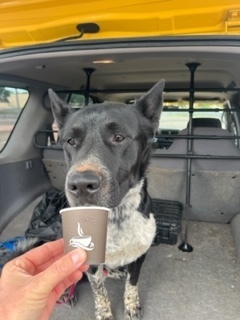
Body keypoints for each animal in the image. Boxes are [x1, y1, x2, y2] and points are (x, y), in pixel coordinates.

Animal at [48, 78, 165, 320]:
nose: (81, 184)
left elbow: (132, 283)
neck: (114, 216)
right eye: (70, 141)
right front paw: (104, 313)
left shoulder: (139, 257)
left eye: (118, 137)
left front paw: (131, 305)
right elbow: (99, 291)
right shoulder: (90, 264)